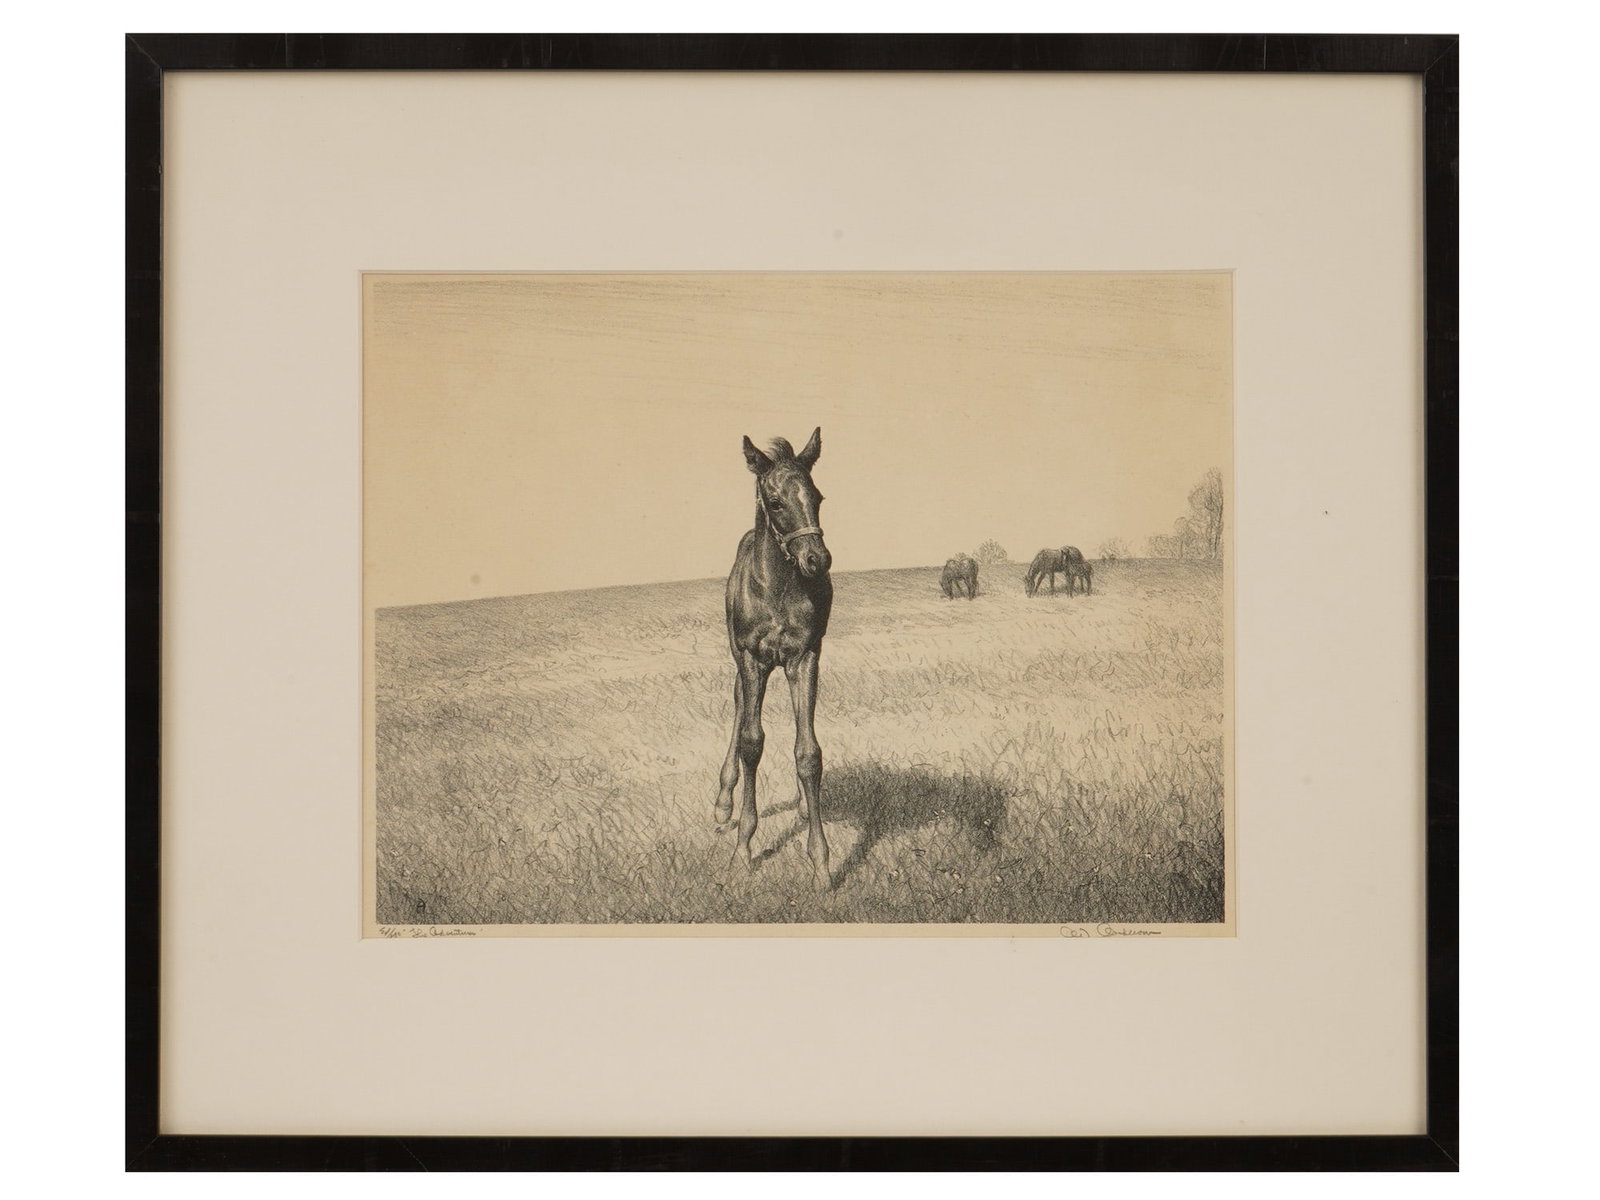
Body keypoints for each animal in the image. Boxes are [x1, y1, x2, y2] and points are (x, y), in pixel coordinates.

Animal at [714, 428, 834, 886]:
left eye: (817, 496)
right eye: (777, 502)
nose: (817, 560)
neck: (779, 588)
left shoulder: (805, 656)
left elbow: (808, 752)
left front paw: (821, 862)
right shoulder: (753, 659)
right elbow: (751, 742)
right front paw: (743, 848)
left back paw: (801, 803)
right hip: (740, 659)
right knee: (737, 706)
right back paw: (723, 804)